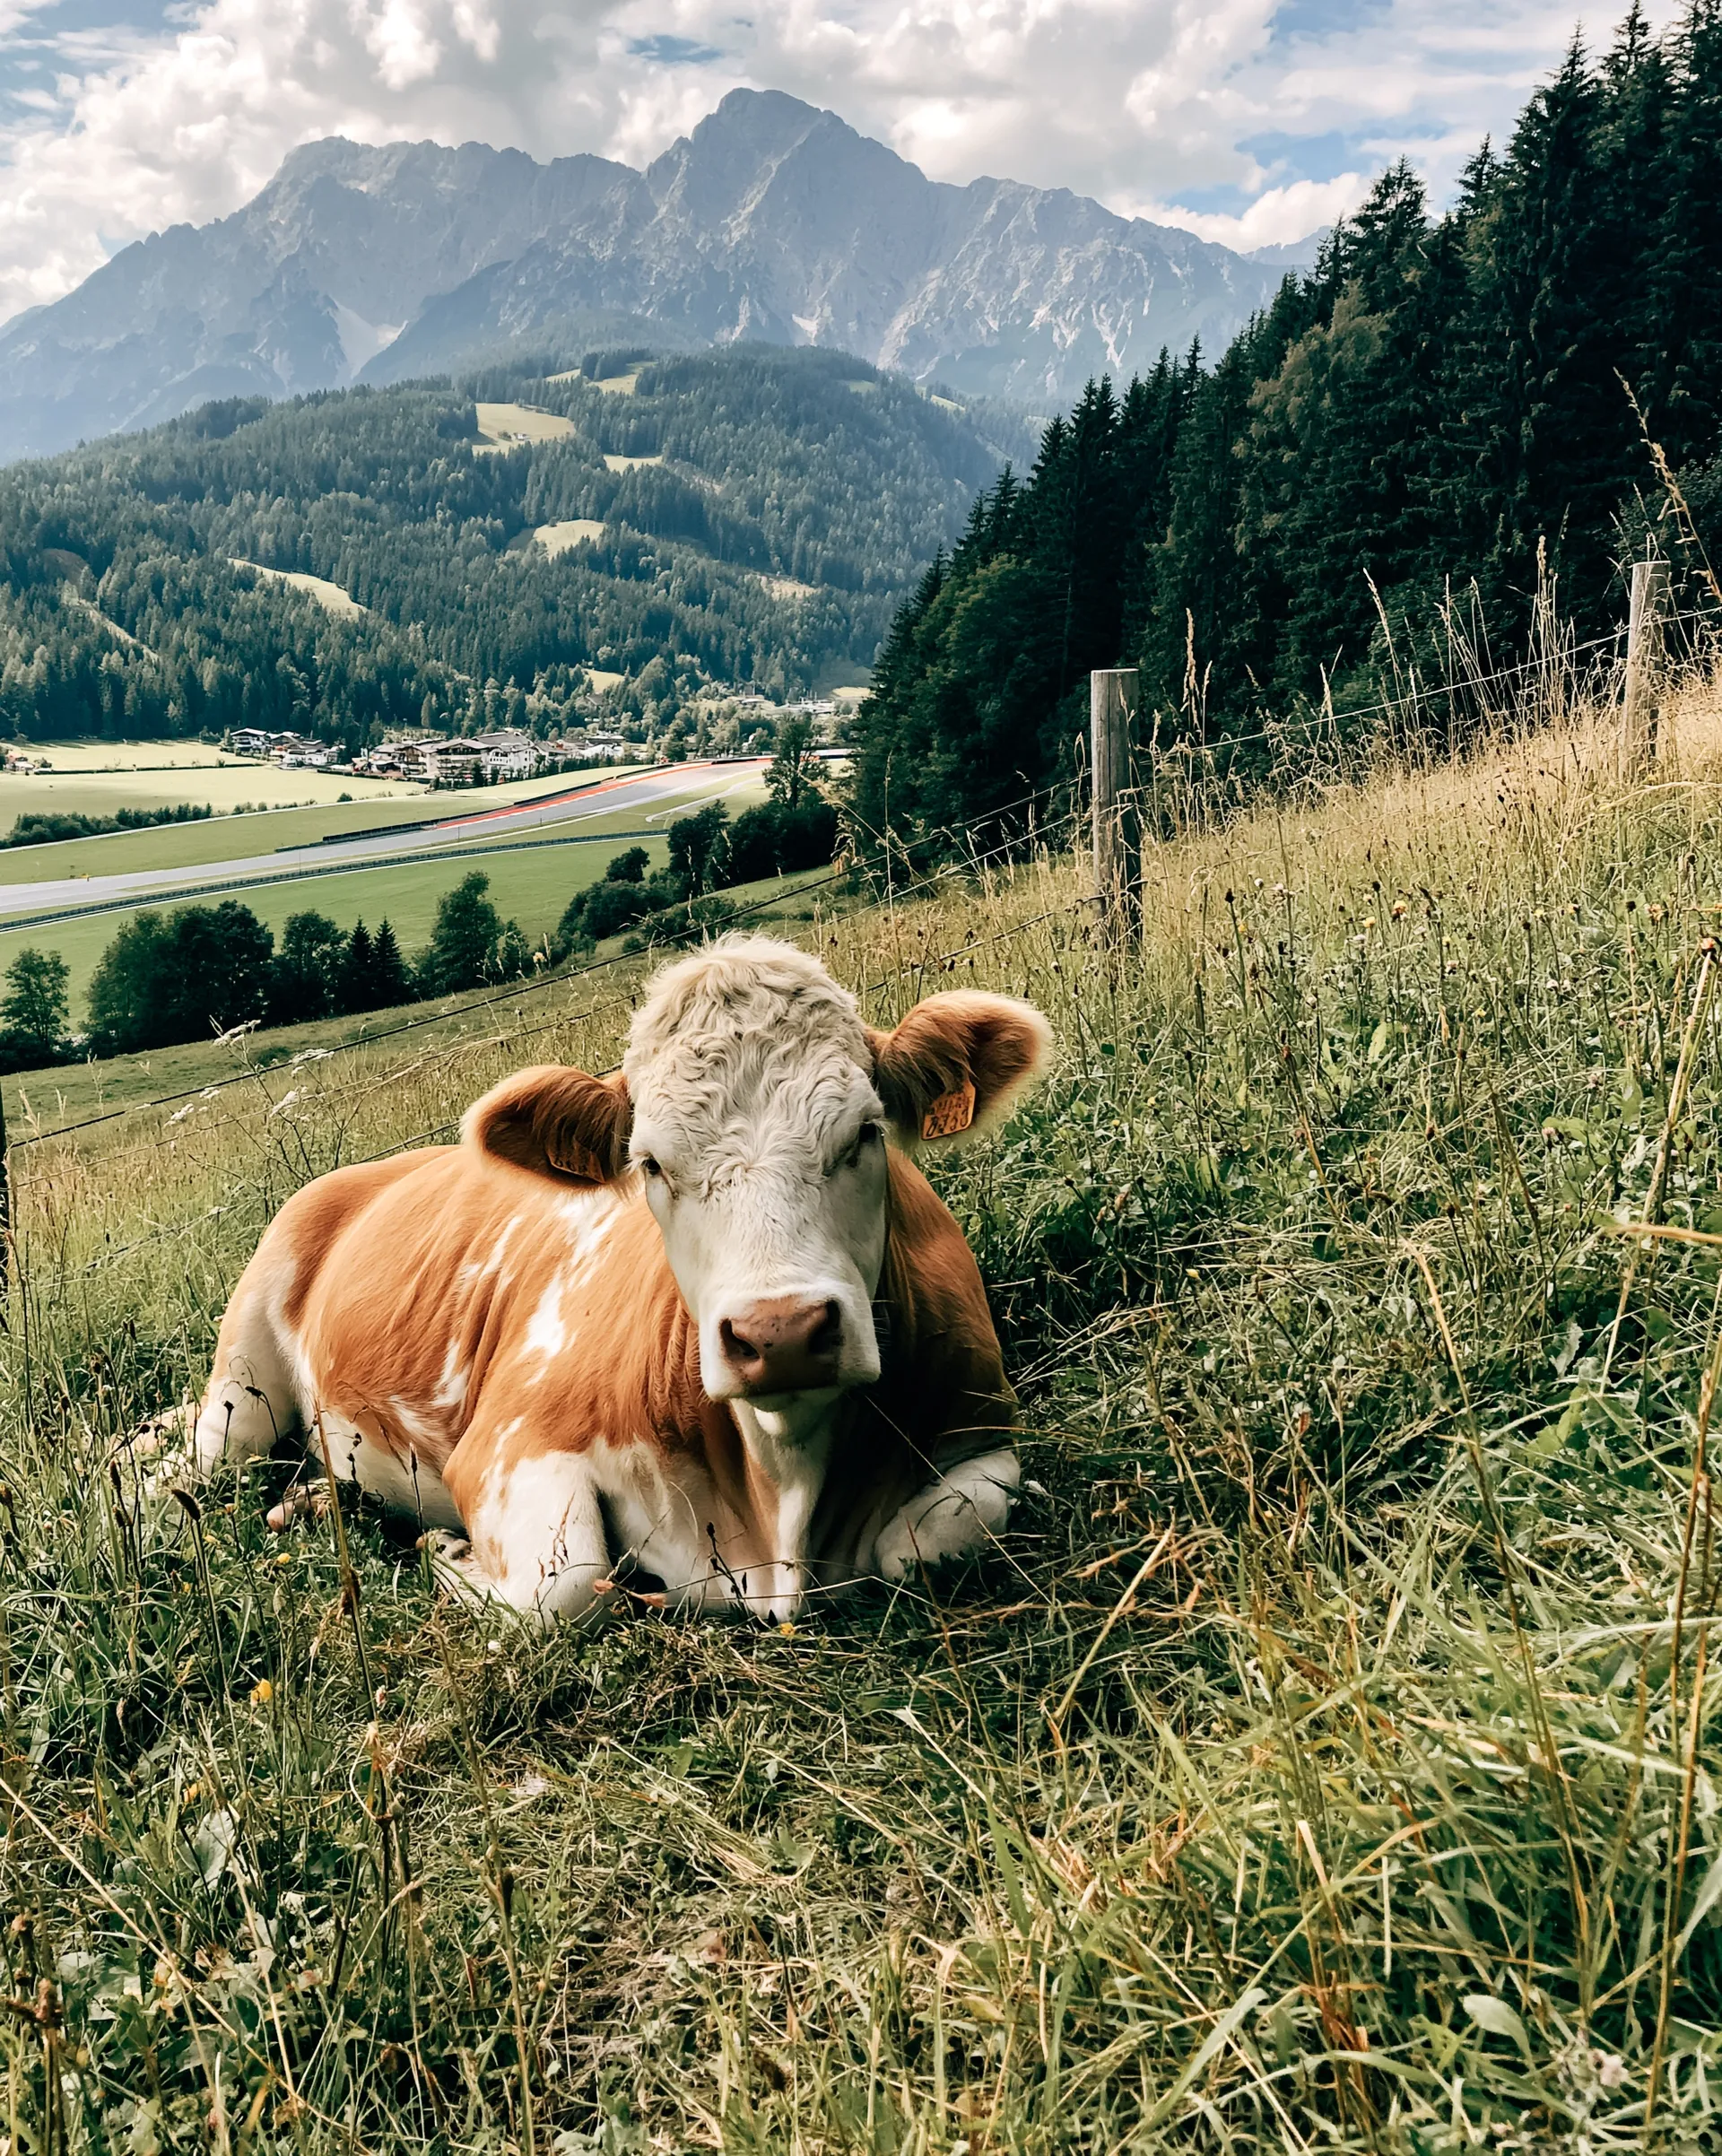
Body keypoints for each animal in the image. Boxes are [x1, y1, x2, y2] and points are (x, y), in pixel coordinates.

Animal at [167, 935, 1052, 1621]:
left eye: (866, 1133)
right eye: (650, 1163)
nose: (782, 1333)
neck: (780, 1497)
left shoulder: (988, 1429)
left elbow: (932, 1538)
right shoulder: (506, 1444)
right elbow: (566, 1586)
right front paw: (449, 1553)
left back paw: (313, 1502)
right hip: (243, 1384)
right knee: (199, 1455)